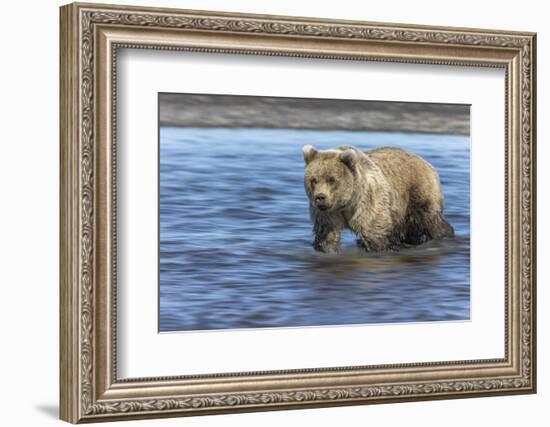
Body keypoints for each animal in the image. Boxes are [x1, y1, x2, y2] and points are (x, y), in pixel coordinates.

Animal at [304, 146, 454, 254]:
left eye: (332, 180)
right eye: (314, 180)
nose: (320, 197)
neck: (346, 204)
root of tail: (424, 161)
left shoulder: (367, 202)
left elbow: (374, 233)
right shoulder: (328, 214)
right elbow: (326, 235)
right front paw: (325, 249)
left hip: (418, 193)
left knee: (432, 221)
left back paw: (444, 235)